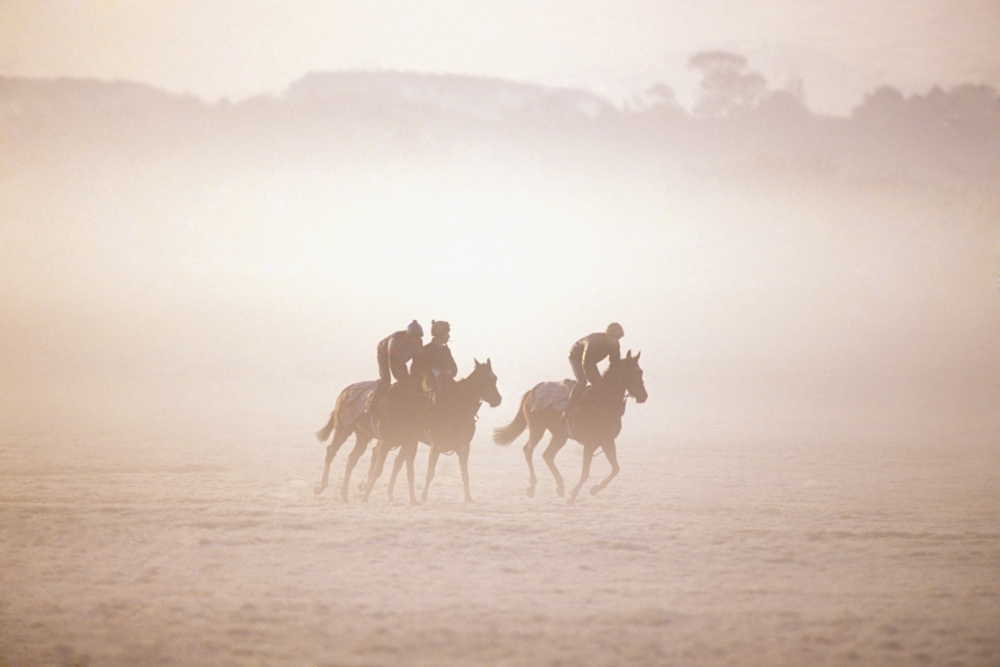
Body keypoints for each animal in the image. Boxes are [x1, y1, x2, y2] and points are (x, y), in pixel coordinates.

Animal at [408, 359, 502, 503]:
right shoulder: (435, 446)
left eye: (495, 378)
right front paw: (423, 497)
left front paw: (468, 497)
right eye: (482, 378)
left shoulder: (464, 447)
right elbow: (430, 473)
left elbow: (465, 473)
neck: (456, 409)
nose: (497, 399)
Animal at [493, 350, 647, 505]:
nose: (644, 396)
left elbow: (616, 469)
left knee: (547, 455)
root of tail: (531, 392)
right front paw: (573, 495)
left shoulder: (607, 441)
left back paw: (560, 487)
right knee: (528, 450)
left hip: (560, 435)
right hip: (537, 428)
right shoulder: (590, 444)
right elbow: (585, 473)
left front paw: (595, 489)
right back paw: (532, 487)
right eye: (630, 372)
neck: (602, 402)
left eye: (640, 372)